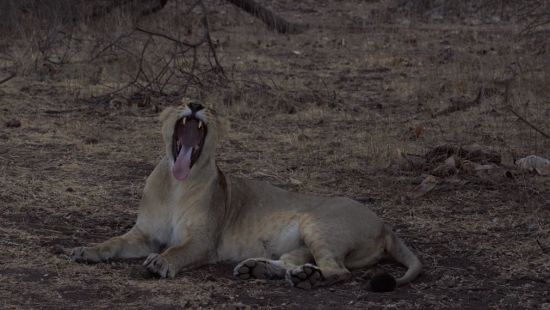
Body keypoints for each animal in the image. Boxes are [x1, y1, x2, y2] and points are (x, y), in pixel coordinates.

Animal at [71, 100, 424, 290]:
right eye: (184, 99)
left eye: (208, 106)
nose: (195, 105)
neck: (175, 185)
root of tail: (385, 225)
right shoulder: (143, 234)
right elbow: (113, 243)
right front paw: (86, 251)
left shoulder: (203, 240)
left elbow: (177, 251)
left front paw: (160, 262)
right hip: (304, 241)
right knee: (296, 260)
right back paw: (260, 269)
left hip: (318, 225)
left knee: (339, 271)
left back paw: (306, 278)